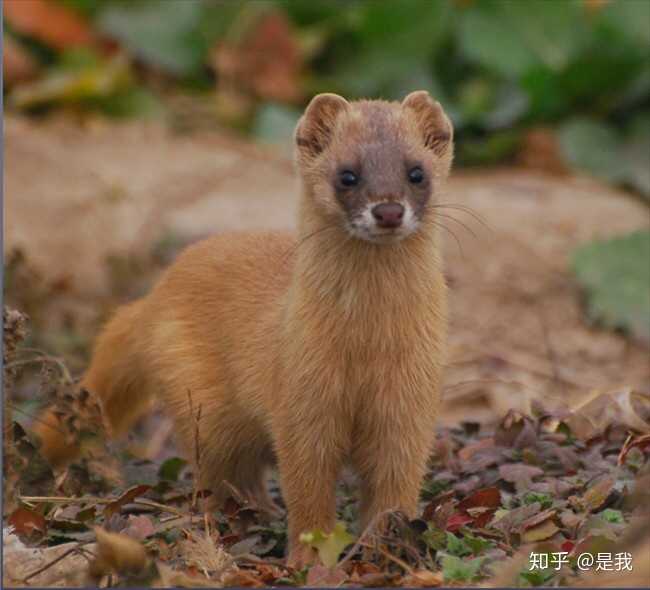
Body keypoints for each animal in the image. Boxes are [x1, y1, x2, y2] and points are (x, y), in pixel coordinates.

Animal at [34, 90, 450, 568]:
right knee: (223, 472)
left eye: (416, 172)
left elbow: (395, 484)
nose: (388, 210)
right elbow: (306, 486)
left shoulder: (410, 403)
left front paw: (390, 546)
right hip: (203, 406)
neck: (367, 348)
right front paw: (309, 557)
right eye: (347, 174)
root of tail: (154, 295)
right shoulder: (299, 397)